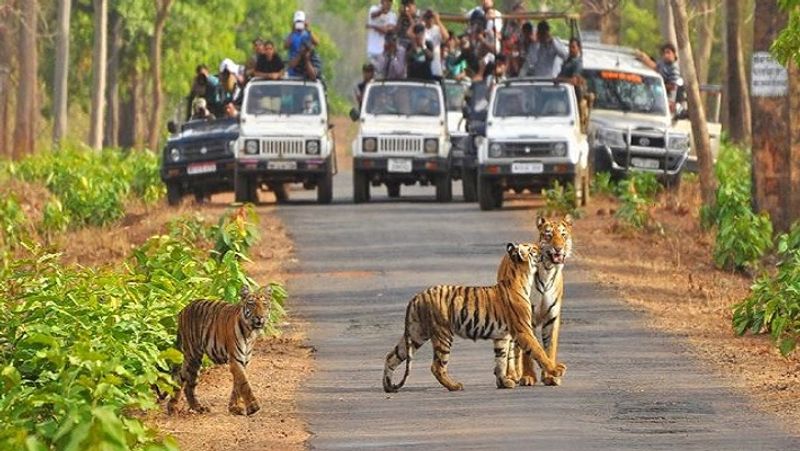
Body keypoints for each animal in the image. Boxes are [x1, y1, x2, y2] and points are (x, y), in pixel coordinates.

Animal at [166, 286, 272, 416]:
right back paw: (175, 408)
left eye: (264, 304)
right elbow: (244, 383)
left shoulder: (244, 361)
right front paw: (253, 407)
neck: (250, 332)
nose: (260, 317)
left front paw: (234, 408)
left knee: (184, 380)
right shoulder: (235, 360)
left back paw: (195, 407)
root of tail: (183, 309)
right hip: (193, 355)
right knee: (184, 380)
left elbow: (237, 385)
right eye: (251, 304)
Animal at [382, 242, 564, 394]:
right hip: (443, 334)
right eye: (533, 249)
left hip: (416, 333)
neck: (522, 278)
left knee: (392, 356)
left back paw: (388, 386)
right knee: (437, 366)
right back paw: (455, 386)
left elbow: (501, 360)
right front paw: (556, 370)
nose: (544, 249)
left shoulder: (502, 336)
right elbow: (539, 351)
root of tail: (417, 296)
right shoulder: (523, 330)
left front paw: (503, 382)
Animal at [510, 215, 572, 388]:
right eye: (548, 235)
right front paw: (528, 377)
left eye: (563, 235)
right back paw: (514, 375)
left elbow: (549, 348)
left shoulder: (552, 317)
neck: (548, 270)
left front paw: (550, 376)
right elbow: (528, 351)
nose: (558, 248)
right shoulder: (526, 317)